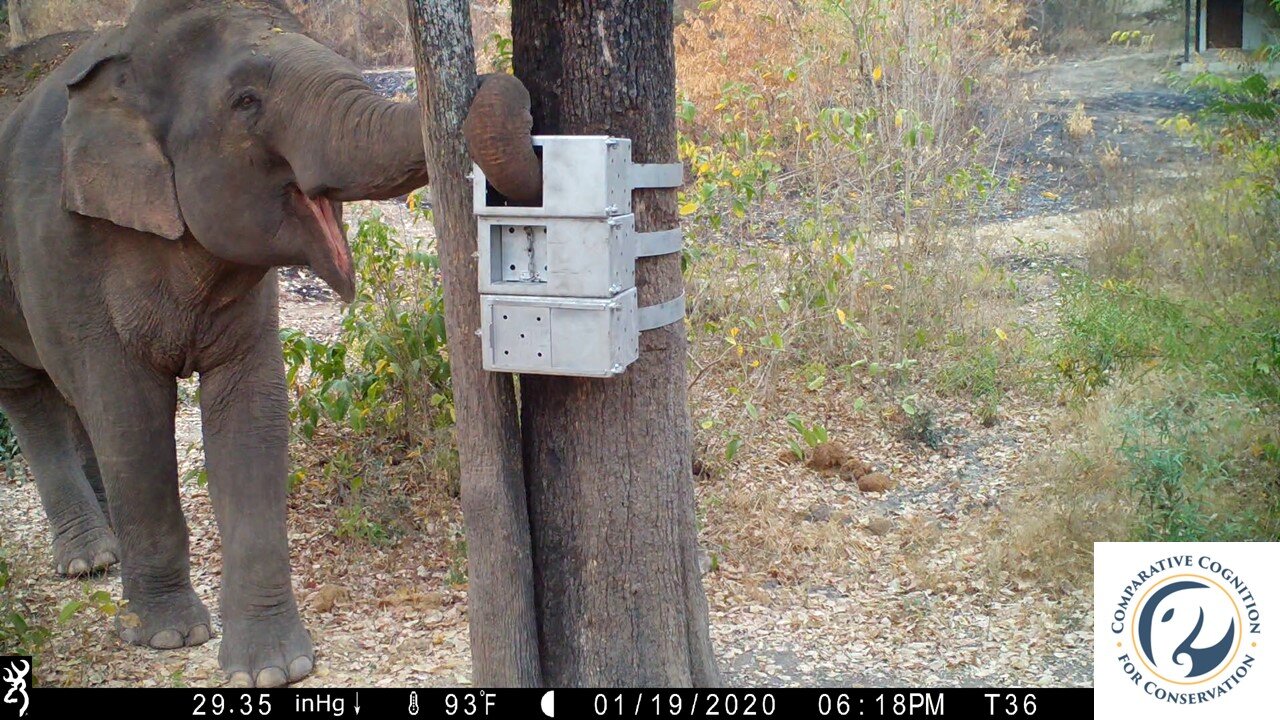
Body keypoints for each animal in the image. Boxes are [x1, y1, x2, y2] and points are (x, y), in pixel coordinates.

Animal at [0, 0, 540, 687]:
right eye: (246, 101)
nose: (488, 80)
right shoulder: (62, 250)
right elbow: (128, 416)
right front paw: (171, 636)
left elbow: (251, 411)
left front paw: (272, 670)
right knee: (33, 395)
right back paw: (88, 560)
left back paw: (107, 554)